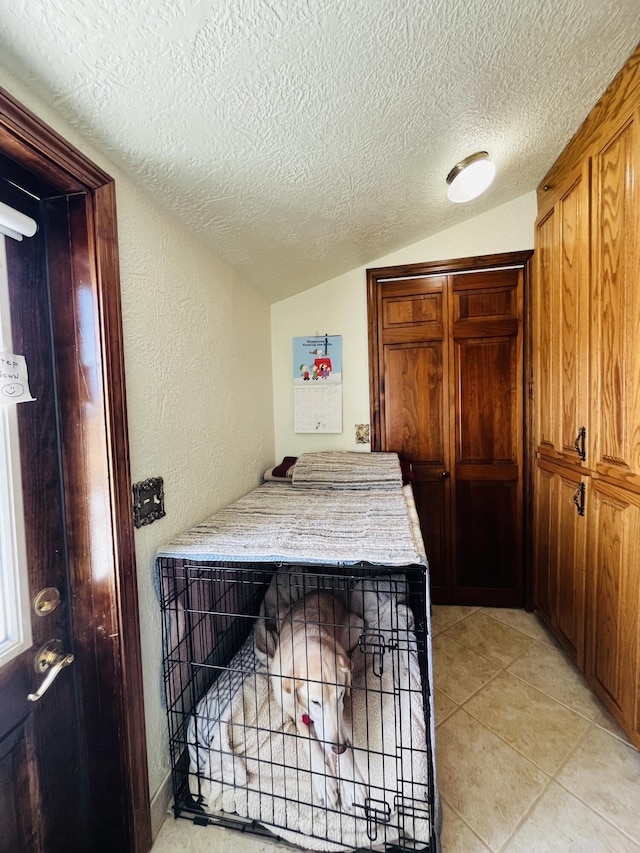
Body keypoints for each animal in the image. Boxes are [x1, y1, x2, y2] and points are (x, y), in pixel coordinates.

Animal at [268, 588, 368, 808]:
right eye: (315, 702)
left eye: (341, 695)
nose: (338, 748)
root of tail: (320, 591)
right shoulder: (294, 712)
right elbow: (310, 742)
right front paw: (325, 782)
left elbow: (344, 736)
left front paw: (352, 784)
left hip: (356, 626)